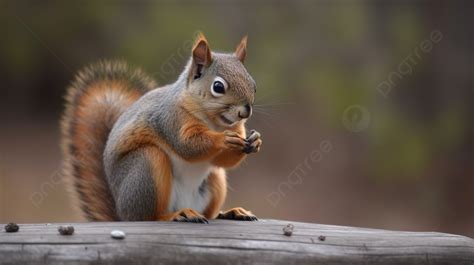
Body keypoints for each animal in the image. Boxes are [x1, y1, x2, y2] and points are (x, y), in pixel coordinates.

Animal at [60, 33, 262, 223]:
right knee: (148, 216)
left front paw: (255, 141)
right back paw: (177, 214)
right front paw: (224, 139)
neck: (215, 123)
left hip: (214, 179)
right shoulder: (170, 119)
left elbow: (224, 160)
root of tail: (121, 212)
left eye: (253, 85)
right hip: (146, 167)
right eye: (218, 87)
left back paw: (230, 213)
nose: (245, 112)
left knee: (210, 211)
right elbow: (187, 145)